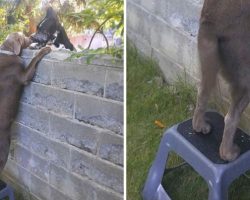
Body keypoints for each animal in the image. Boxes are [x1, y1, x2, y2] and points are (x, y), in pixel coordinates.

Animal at [0, 32, 50, 173]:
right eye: (24, 37)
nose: (32, 37)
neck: (7, 51)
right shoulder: (24, 76)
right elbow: (34, 59)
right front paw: (45, 49)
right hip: (4, 149)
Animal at [193, 0, 250, 162]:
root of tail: (212, 21)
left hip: (207, 59)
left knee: (201, 94)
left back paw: (200, 126)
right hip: (246, 77)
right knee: (230, 118)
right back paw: (229, 154)